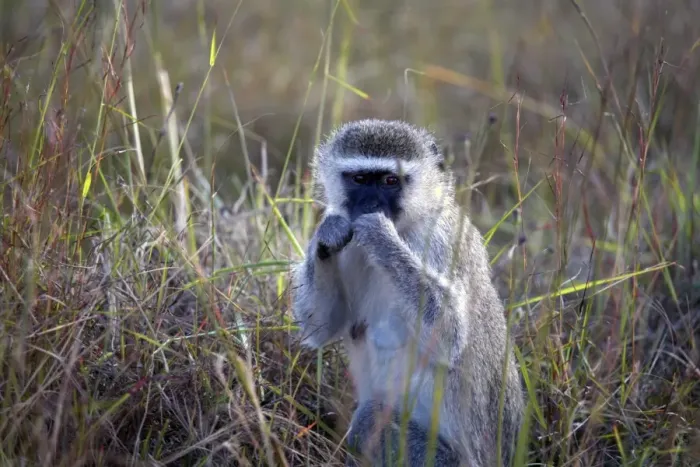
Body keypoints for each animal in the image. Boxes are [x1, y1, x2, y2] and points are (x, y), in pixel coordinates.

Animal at [290, 119, 524, 466]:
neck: (406, 225)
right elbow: (323, 326)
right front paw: (327, 234)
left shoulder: (441, 240)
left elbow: (449, 334)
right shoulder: (349, 247)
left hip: (444, 461)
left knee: (369, 419)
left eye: (390, 181)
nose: (370, 206)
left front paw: (379, 234)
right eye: (359, 179)